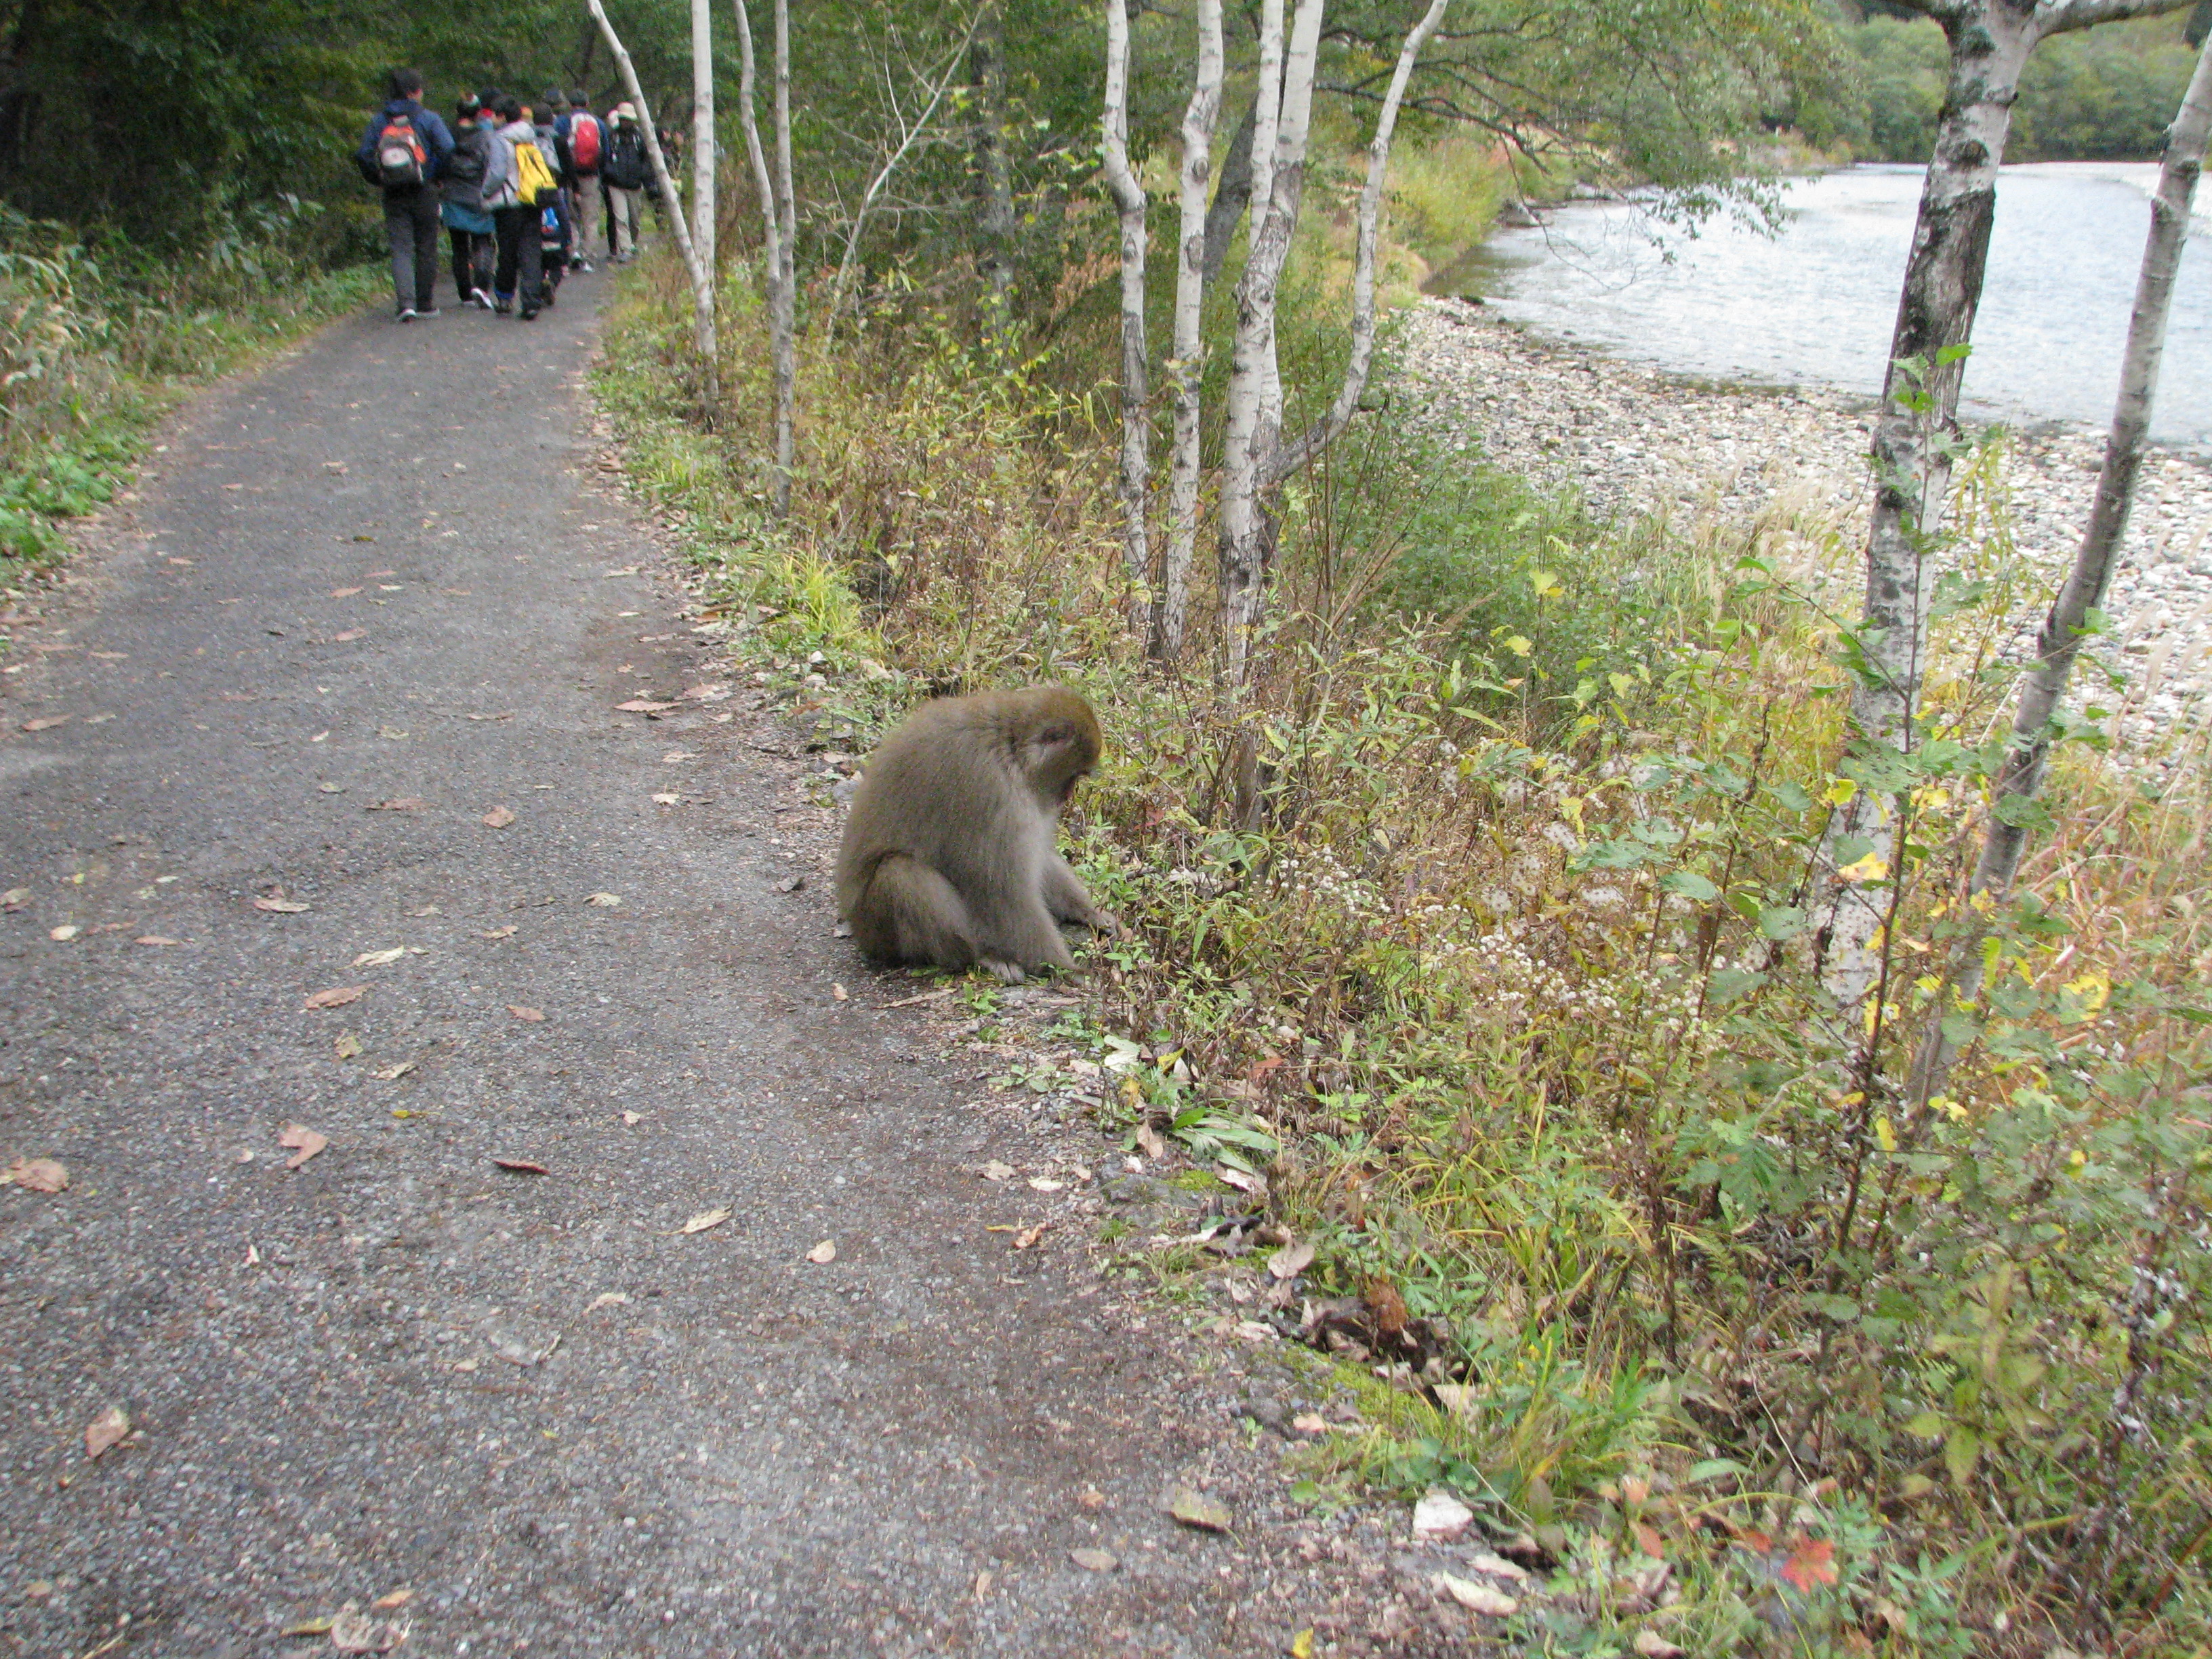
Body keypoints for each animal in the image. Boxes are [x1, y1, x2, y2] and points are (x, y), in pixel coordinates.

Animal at [836, 685, 1119, 982]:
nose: (1066, 796)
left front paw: (1090, 912)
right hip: (879, 928)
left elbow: (1037, 858)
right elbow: (1000, 888)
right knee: (901, 874)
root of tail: (860, 933)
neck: (1009, 745)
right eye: (1075, 774)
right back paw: (983, 956)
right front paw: (1064, 968)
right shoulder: (989, 787)